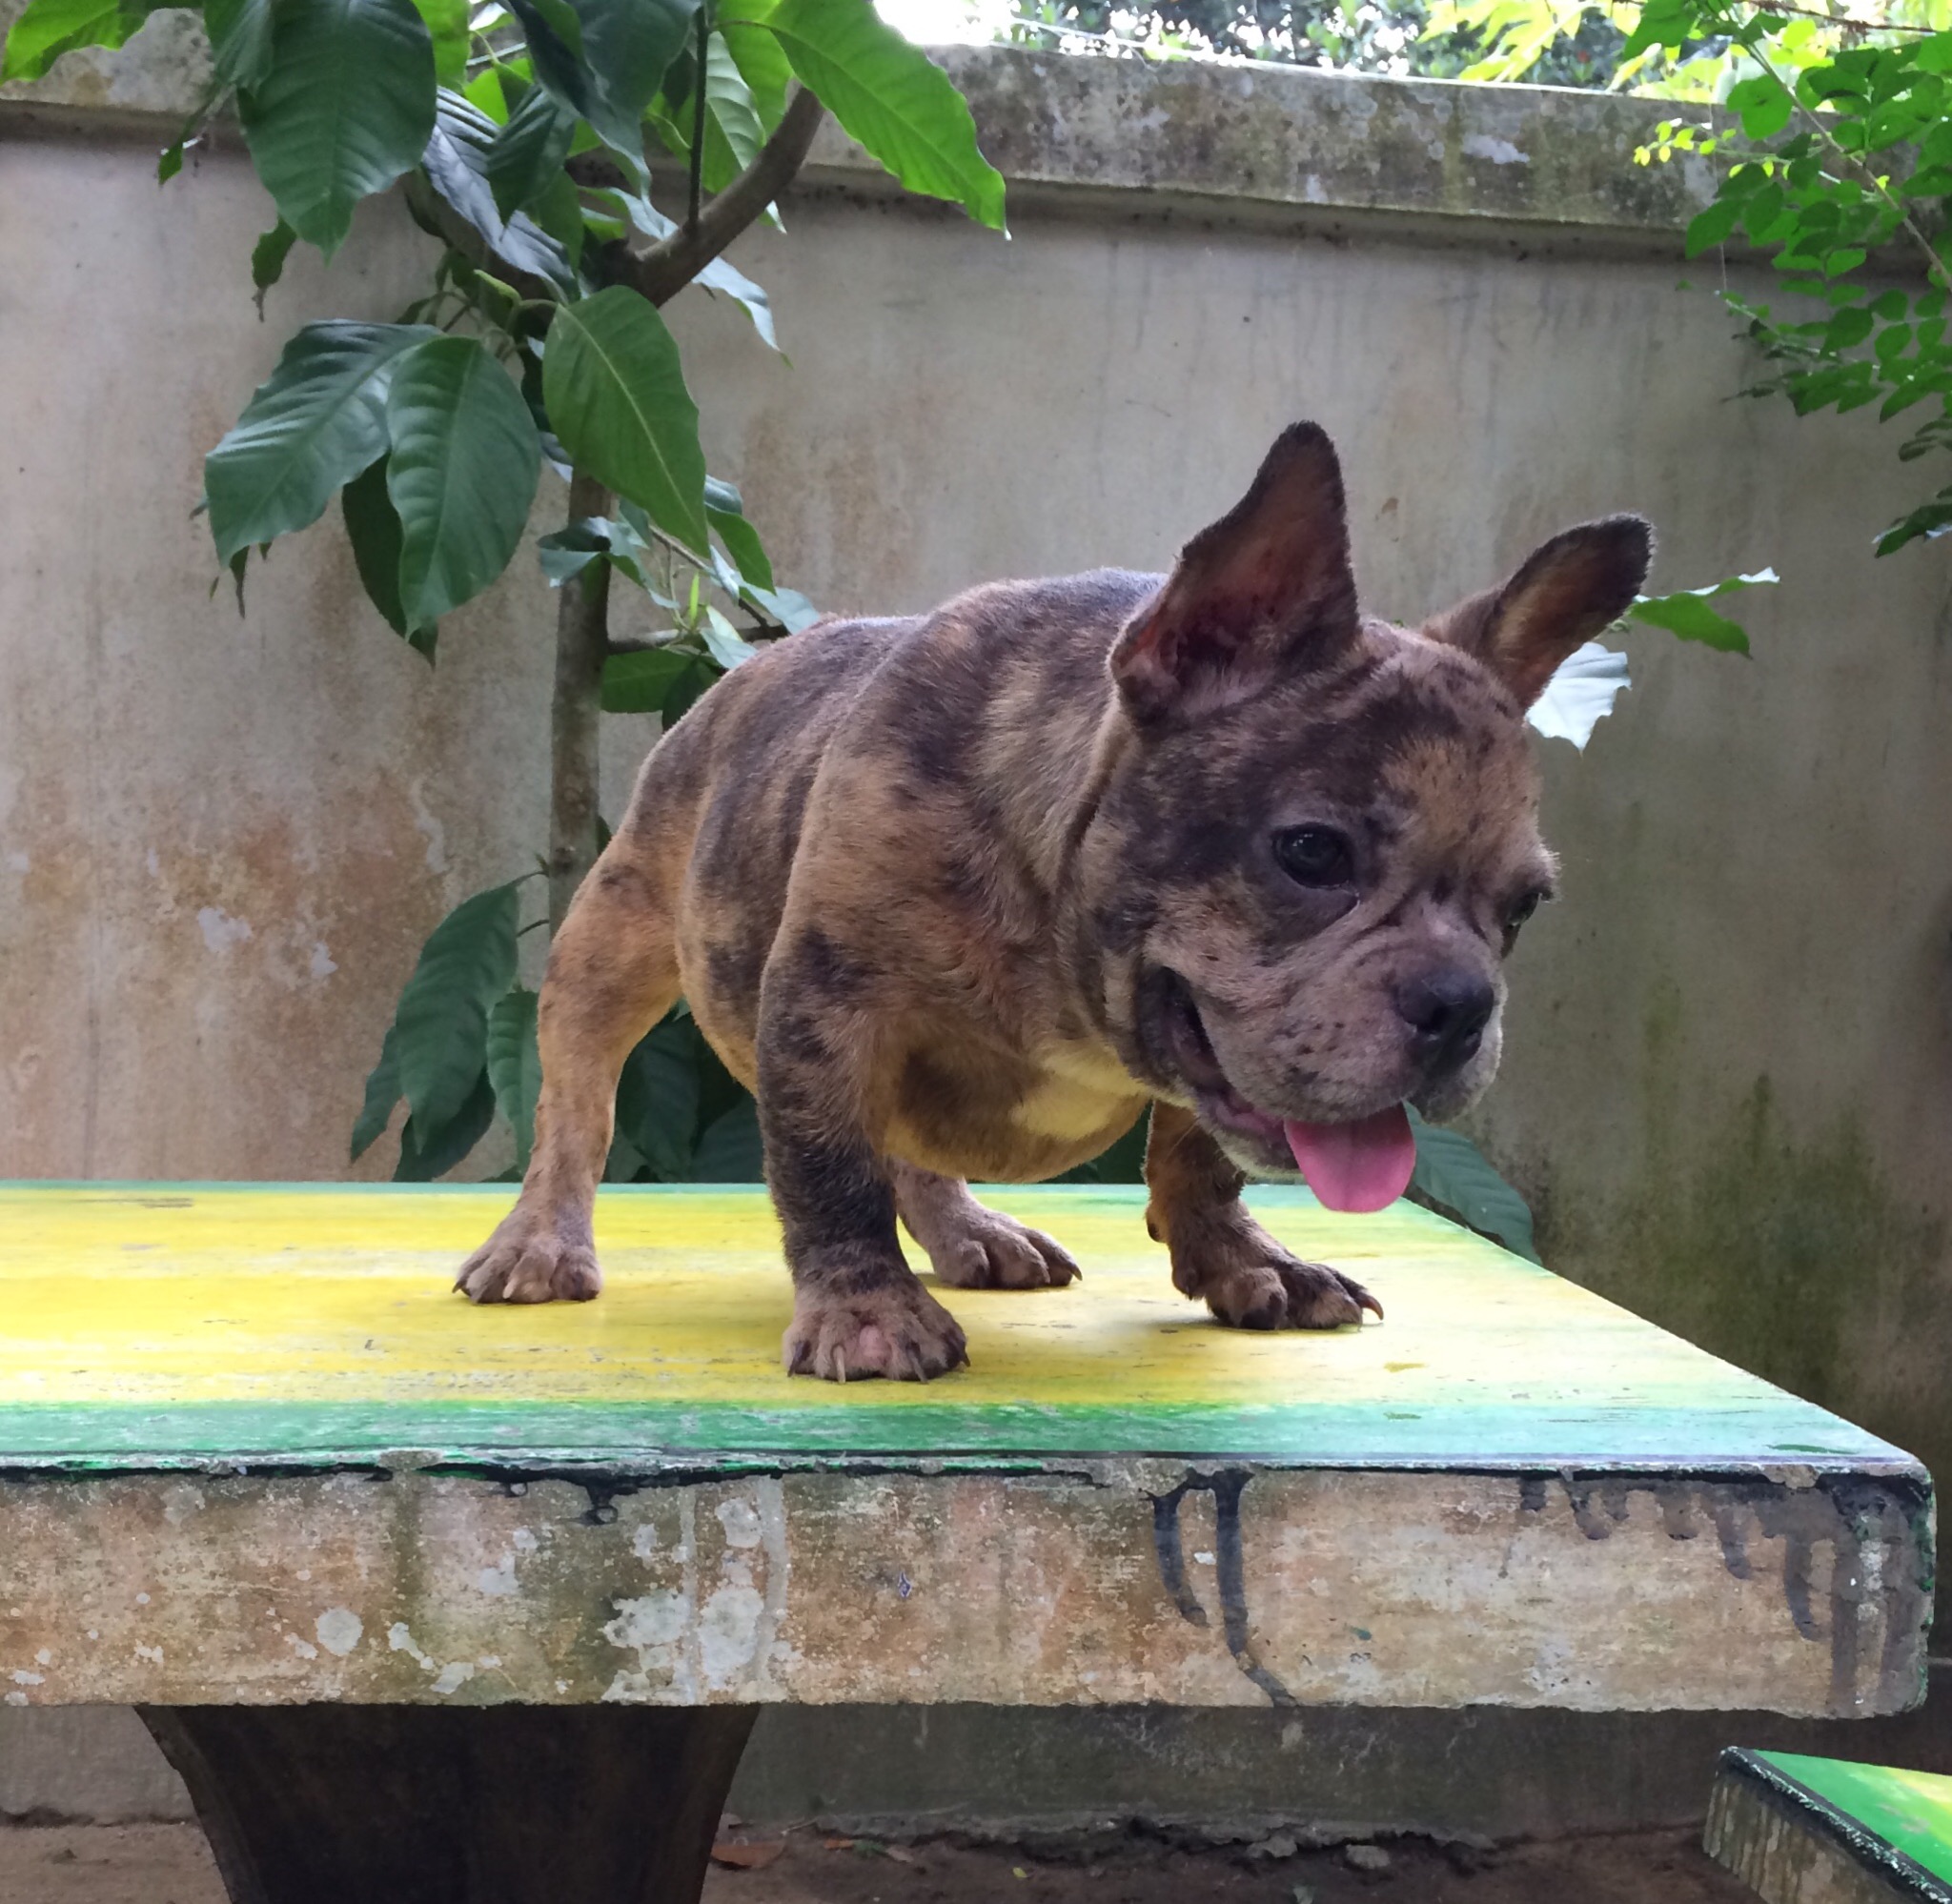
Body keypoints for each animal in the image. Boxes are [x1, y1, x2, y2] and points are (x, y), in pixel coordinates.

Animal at [456, 422, 1650, 1380]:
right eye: (1310, 853)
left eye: (1523, 907)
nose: (1460, 1005)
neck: (1059, 945)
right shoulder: (825, 1004)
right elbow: (829, 1164)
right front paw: (865, 1310)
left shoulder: (1196, 1053)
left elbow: (1199, 1154)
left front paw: (1245, 1262)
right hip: (611, 940)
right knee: (578, 1106)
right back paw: (540, 1244)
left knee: (912, 1143)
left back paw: (968, 1230)